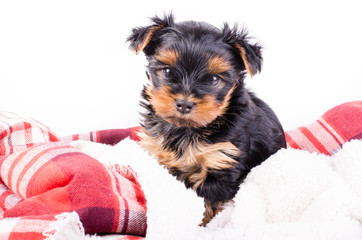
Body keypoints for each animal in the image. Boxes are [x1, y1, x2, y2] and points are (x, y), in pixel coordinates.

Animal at [127, 14, 286, 226]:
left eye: (214, 80)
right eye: (167, 72)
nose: (184, 104)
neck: (187, 130)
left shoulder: (222, 160)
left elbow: (210, 202)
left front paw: (205, 226)